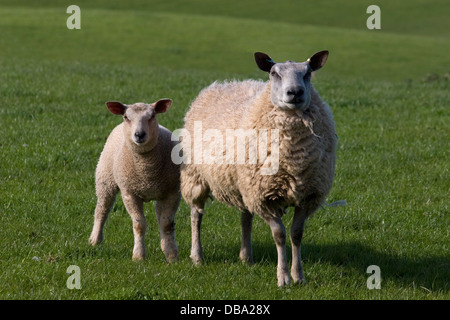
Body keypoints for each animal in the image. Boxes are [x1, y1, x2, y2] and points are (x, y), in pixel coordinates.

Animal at [89, 99, 181, 262]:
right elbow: (139, 224)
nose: (139, 135)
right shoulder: (129, 193)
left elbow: (166, 224)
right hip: (105, 179)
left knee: (159, 215)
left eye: (152, 116)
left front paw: (172, 256)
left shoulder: (173, 192)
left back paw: (164, 245)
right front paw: (138, 256)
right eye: (126, 117)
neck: (147, 171)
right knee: (102, 209)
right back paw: (95, 240)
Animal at [179, 51, 338, 286]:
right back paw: (197, 256)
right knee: (196, 215)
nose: (295, 92)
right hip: (196, 176)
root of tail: (223, 84)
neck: (293, 157)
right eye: (274, 73)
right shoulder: (264, 196)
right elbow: (279, 235)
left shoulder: (307, 195)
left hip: (244, 183)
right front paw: (283, 277)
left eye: (308, 73)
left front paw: (298, 276)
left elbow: (296, 234)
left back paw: (246, 257)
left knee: (245, 217)